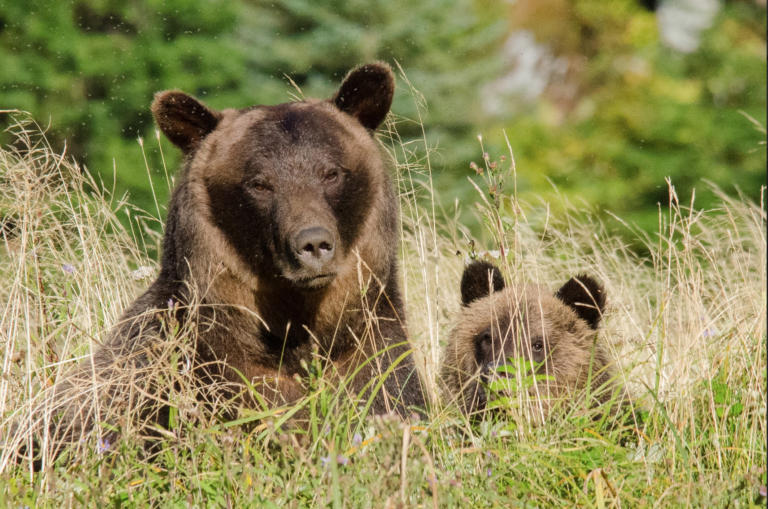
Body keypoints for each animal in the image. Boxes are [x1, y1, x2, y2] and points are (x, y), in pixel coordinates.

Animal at [30, 61, 426, 458]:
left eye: (331, 172)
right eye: (259, 184)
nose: (313, 244)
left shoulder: (371, 354)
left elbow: (385, 396)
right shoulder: (189, 375)